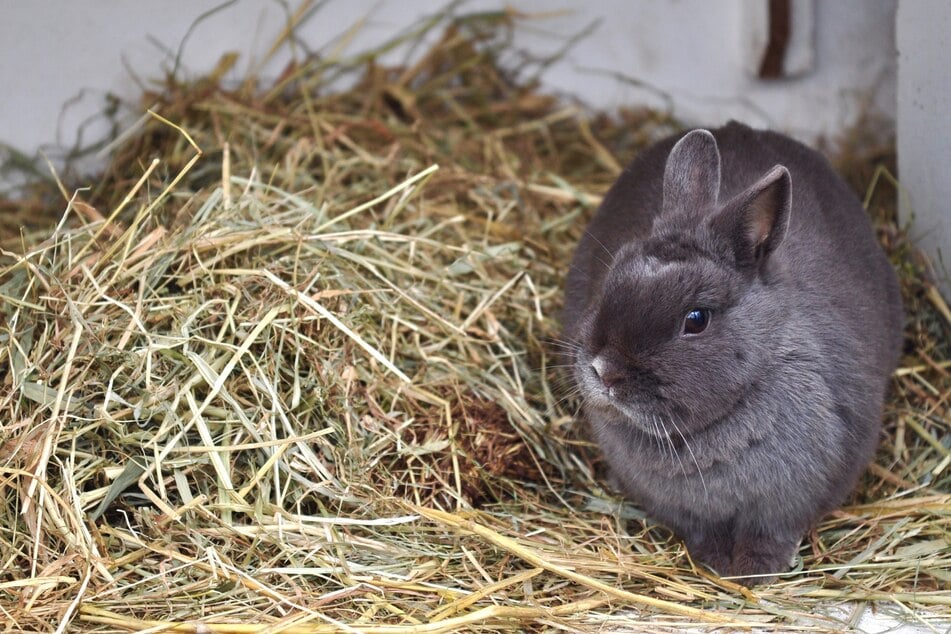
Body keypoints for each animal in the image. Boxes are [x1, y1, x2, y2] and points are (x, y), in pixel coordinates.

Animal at [560, 119, 904, 584]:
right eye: (611, 278)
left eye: (696, 319)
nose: (603, 369)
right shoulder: (688, 513)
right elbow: (703, 532)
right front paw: (718, 564)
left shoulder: (786, 505)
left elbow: (770, 534)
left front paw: (754, 572)